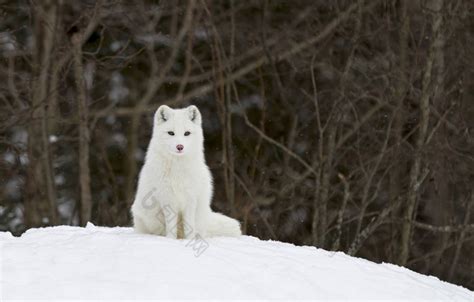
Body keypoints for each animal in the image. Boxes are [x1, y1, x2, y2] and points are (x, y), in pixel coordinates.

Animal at [130, 105, 241, 239]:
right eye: (171, 133)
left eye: (187, 133)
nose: (180, 146)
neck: (178, 171)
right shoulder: (168, 200)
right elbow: (171, 227)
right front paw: (170, 240)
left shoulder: (191, 200)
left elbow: (189, 227)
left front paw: (190, 240)